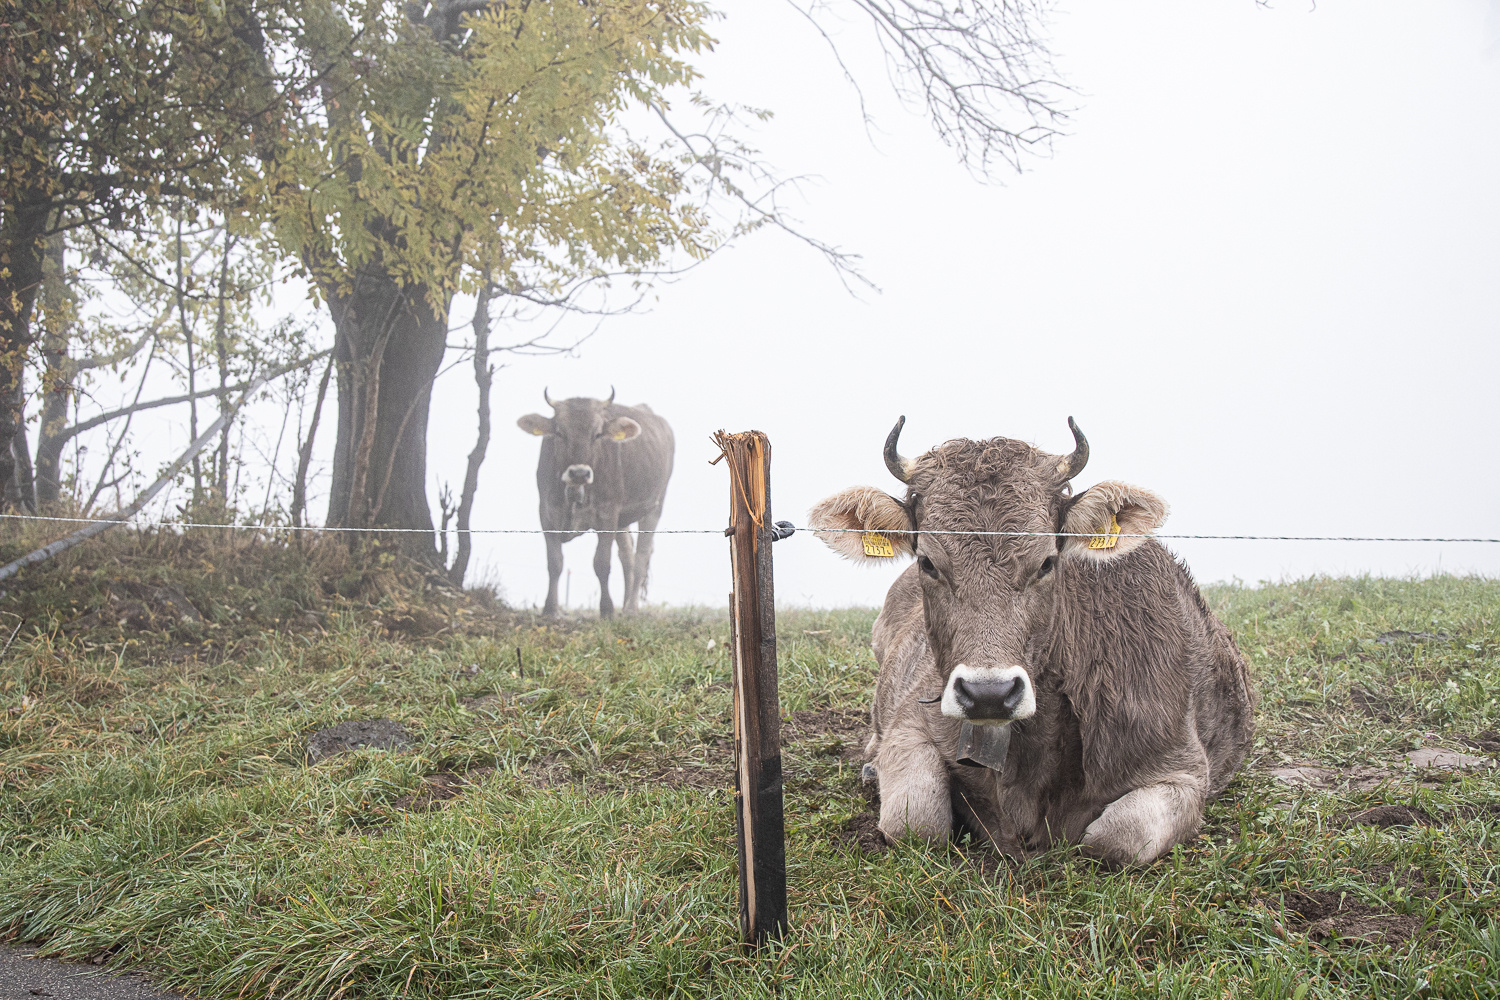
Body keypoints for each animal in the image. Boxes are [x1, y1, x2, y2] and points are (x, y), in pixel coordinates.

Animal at [519, 389, 678, 617]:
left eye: (597, 434)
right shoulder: (546, 513)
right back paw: (625, 603)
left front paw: (607, 610)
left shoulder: (607, 514)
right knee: (627, 555)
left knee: (641, 556)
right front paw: (550, 609)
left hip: (654, 506)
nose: (579, 473)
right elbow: (554, 562)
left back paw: (631, 608)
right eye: (560, 432)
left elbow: (602, 563)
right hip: (623, 519)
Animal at [810, 419, 1254, 863]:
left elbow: (1119, 836)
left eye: (1046, 562)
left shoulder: (1183, 770)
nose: (988, 695)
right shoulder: (910, 722)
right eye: (928, 562)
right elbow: (917, 822)